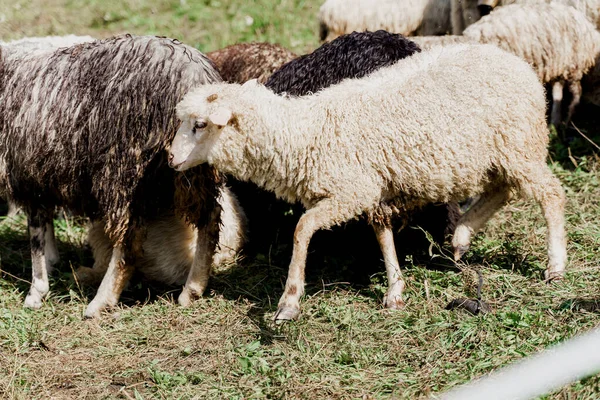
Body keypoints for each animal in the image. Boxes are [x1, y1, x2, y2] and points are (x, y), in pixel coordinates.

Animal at [0, 34, 224, 318]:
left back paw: (100, 302)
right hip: (193, 169)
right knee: (210, 219)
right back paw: (193, 289)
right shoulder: (42, 174)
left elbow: (36, 236)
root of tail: (191, 75)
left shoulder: (27, 173)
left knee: (129, 241)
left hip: (124, 170)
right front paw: (52, 262)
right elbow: (44, 225)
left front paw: (36, 291)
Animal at [168, 43, 568, 322]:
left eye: (200, 124)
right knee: (502, 190)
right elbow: (382, 233)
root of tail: (516, 62)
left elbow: (303, 228)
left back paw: (555, 266)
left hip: (519, 144)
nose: (171, 159)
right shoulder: (371, 187)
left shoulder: (351, 191)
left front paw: (290, 300)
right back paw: (462, 236)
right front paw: (395, 289)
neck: (305, 133)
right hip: (501, 153)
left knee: (550, 194)